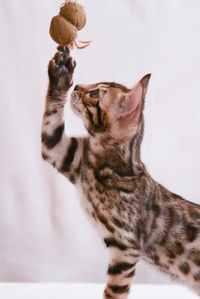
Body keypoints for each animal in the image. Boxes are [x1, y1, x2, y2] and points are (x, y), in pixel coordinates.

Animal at [41, 45, 200, 298]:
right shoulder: (62, 152)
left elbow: (114, 291)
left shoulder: (125, 247)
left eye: (96, 95)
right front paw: (61, 74)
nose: (77, 87)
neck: (103, 164)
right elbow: (51, 120)